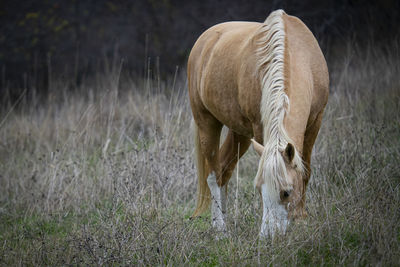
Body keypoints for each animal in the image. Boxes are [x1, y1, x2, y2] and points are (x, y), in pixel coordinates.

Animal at [188, 9, 328, 238]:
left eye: (286, 192)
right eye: (259, 189)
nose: (269, 235)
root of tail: (205, 39)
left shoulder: (315, 122)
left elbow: (305, 172)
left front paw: (301, 220)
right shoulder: (261, 130)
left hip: (240, 134)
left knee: (224, 169)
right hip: (206, 123)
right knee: (213, 174)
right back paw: (219, 227)